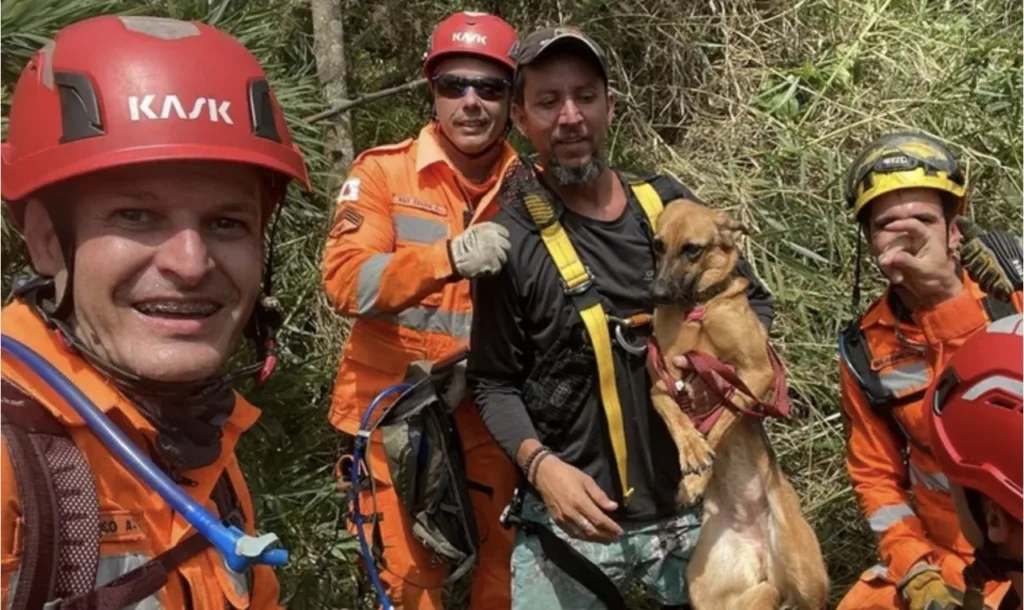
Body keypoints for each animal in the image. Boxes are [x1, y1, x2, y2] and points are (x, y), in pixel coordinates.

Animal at [647, 200, 831, 610]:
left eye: (692, 249)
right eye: (657, 245)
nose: (658, 293)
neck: (698, 310)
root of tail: (761, 554)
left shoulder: (756, 374)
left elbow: (725, 415)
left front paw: (697, 475)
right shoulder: (663, 380)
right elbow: (672, 413)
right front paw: (691, 450)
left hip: (806, 575)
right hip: (707, 588)